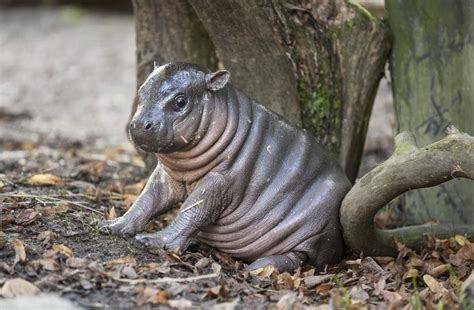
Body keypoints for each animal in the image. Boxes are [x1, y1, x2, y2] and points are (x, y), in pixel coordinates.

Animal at [99, 61, 352, 270]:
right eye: (141, 90)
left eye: (180, 101)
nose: (139, 124)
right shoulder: (165, 175)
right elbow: (146, 200)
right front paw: (111, 226)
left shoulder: (220, 181)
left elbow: (193, 209)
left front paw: (152, 240)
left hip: (317, 233)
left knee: (297, 258)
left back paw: (257, 268)